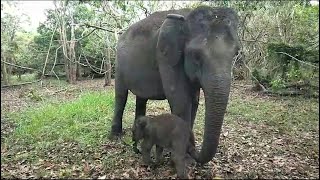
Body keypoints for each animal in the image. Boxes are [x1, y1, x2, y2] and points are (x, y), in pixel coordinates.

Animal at [111, 5, 239, 164]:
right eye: (196, 56)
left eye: (236, 53)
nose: (193, 150)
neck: (187, 17)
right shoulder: (166, 56)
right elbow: (181, 100)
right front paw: (180, 157)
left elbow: (194, 101)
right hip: (118, 64)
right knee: (120, 95)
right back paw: (115, 135)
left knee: (141, 98)